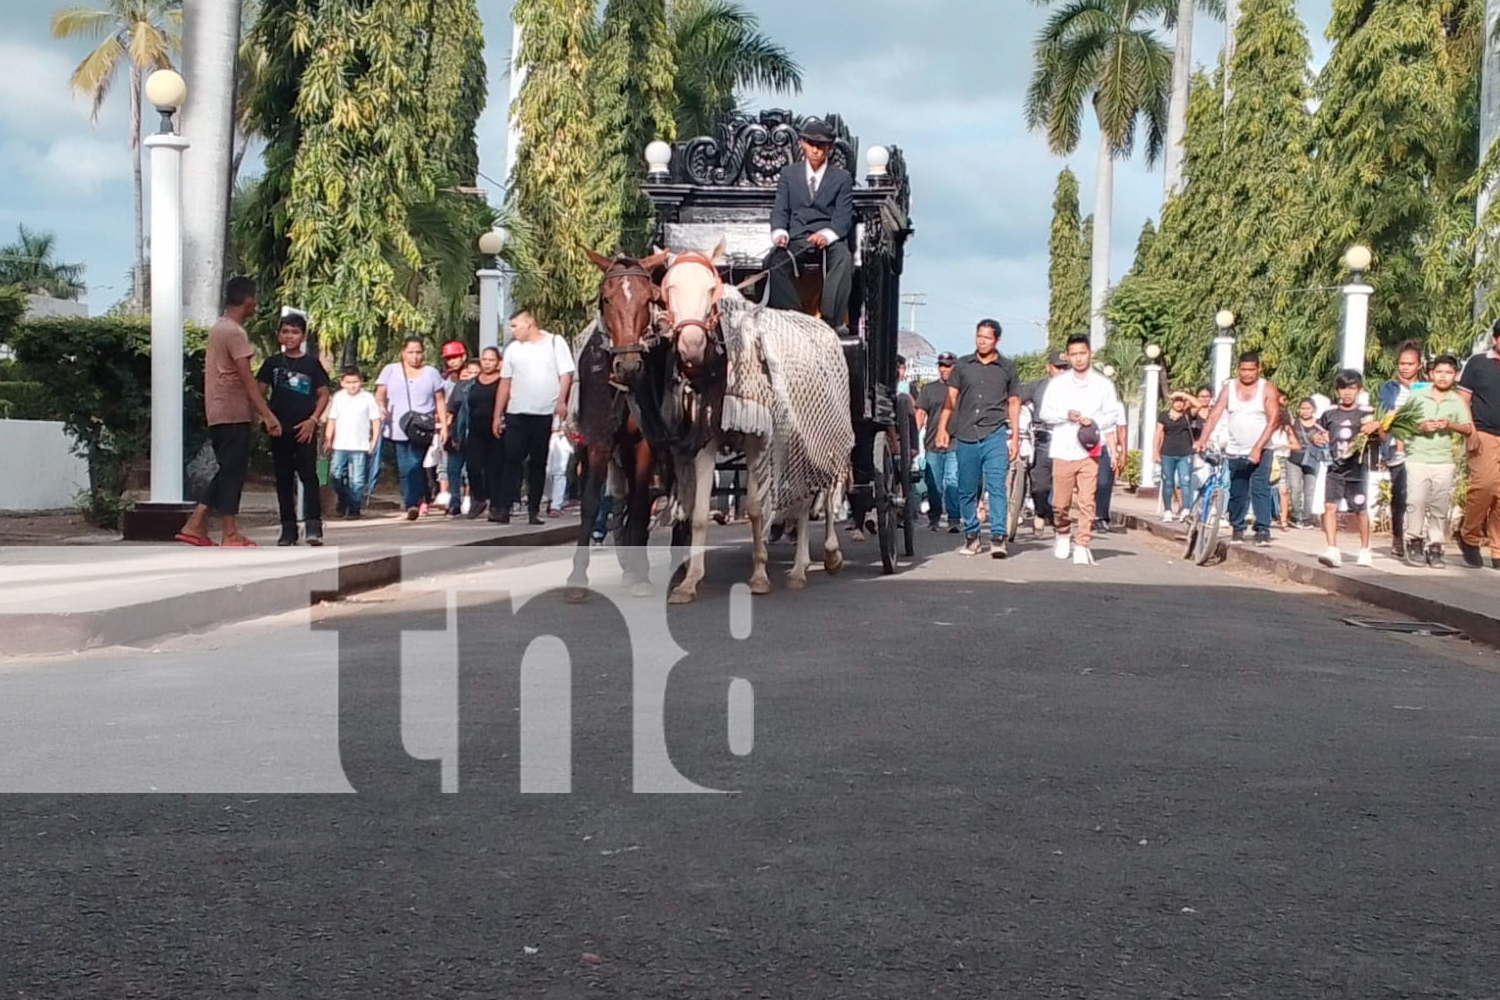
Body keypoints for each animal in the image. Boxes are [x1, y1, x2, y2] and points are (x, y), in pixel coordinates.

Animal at [567, 248, 669, 602]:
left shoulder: (647, 441)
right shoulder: (598, 437)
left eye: (649, 299)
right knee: (619, 498)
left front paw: (641, 575)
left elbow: (640, 503)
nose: (628, 364)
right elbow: (591, 501)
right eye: (607, 299)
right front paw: (577, 577)